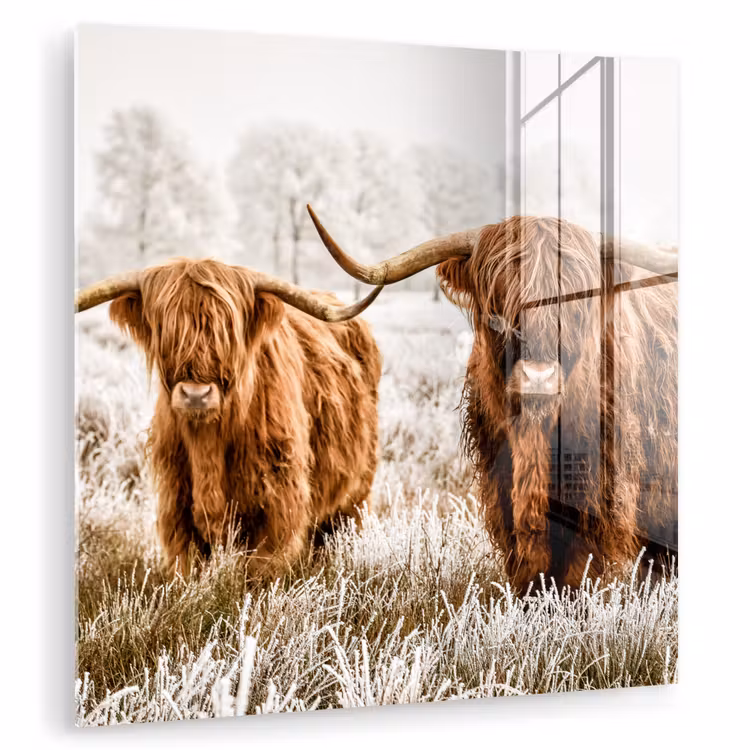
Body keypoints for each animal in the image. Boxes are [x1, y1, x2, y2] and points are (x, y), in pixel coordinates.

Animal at [75, 259, 384, 578]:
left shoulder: (278, 506)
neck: (208, 444)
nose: (196, 394)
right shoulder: (176, 508)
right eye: (164, 328)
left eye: (228, 331)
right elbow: (187, 568)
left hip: (355, 493)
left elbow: (261, 571)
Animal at [307, 206, 678, 595]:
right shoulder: (500, 479)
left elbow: (581, 565)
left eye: (577, 308)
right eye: (497, 313)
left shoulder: (600, 489)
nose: (538, 377)